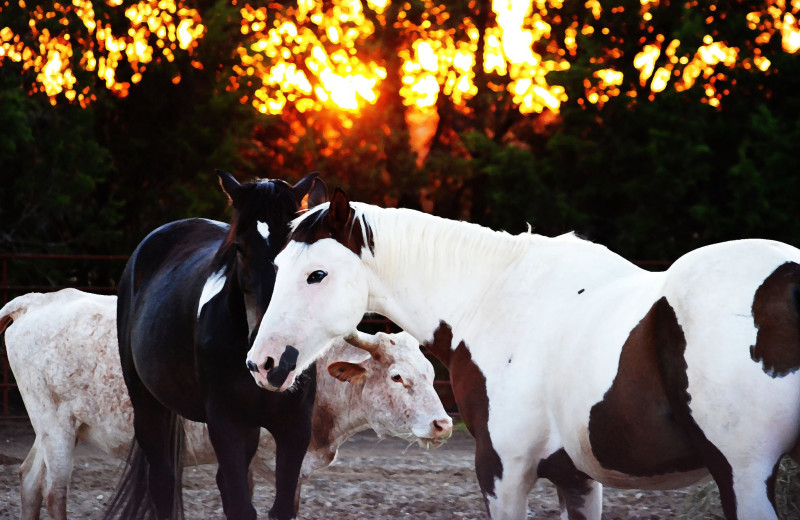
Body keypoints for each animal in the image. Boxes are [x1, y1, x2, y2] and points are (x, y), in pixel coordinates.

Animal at [0, 288, 454, 520]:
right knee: (54, 491)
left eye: (430, 374)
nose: (443, 425)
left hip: (52, 428)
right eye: (398, 377)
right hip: (57, 424)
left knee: (29, 479)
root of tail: (36, 301)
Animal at [107, 172, 328, 520]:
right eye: (239, 248)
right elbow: (239, 504)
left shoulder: (295, 428)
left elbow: (279, 506)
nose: (270, 357)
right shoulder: (227, 425)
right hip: (147, 405)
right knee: (162, 482)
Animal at [242, 190, 800, 520]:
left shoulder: (504, 471)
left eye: (316, 274)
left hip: (744, 476)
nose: (262, 363)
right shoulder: (577, 479)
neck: (494, 299)